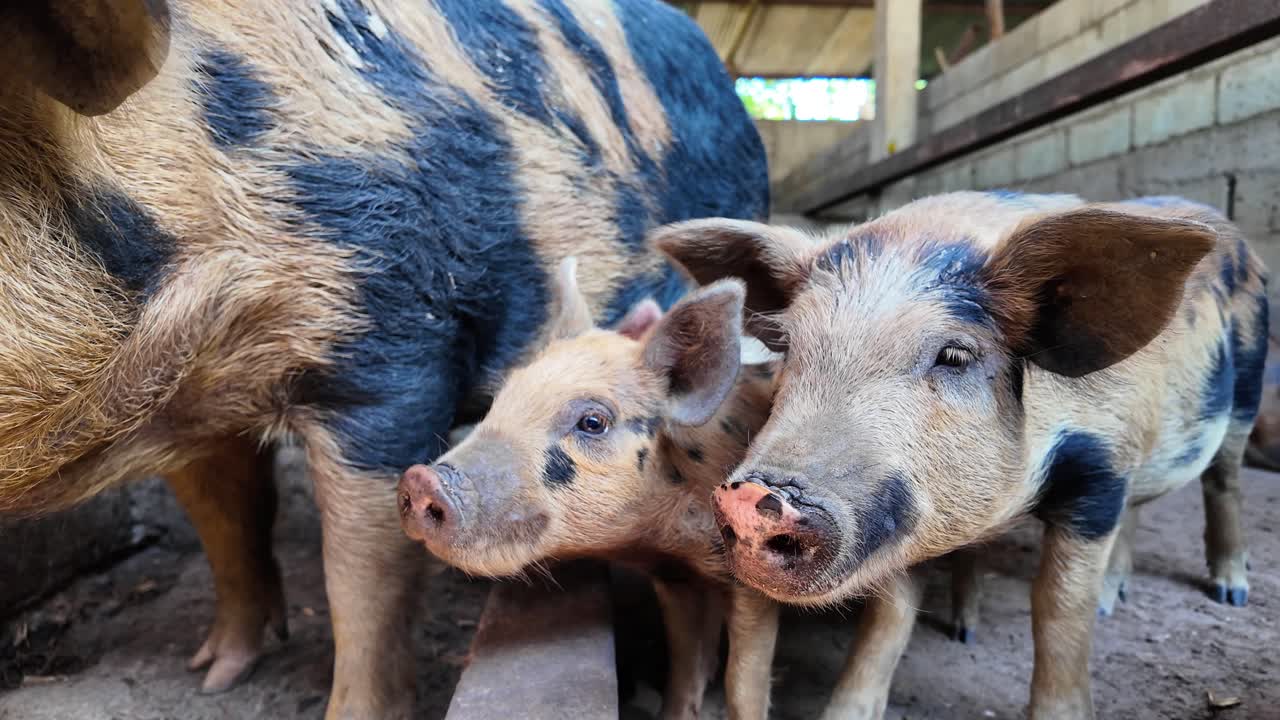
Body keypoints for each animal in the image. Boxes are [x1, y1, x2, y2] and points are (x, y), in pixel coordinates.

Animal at [399, 258, 784, 719]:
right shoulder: (674, 576)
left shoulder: (757, 582)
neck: (672, 539)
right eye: (501, 400)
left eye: (593, 422)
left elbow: (743, 685)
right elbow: (683, 663)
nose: (422, 480)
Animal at [651, 191, 1267, 719]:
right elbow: (889, 619)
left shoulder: (1102, 471)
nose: (752, 495)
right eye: (791, 349)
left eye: (954, 355)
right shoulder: (903, 520)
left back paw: (1229, 591)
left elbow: (1059, 609)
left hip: (1247, 394)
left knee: (1225, 481)